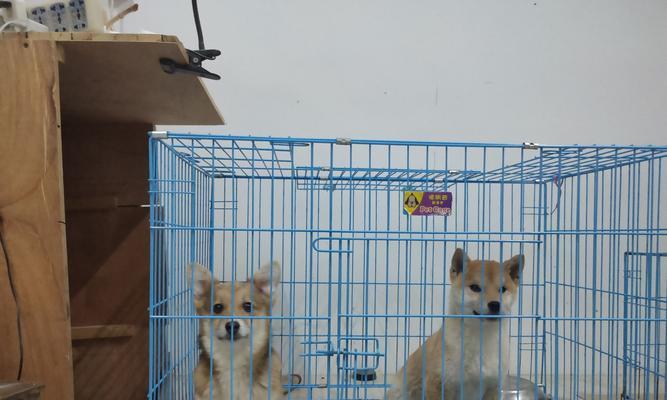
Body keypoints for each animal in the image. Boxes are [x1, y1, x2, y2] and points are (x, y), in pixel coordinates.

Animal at [388, 248, 524, 398]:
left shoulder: (493, 386)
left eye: (503, 289)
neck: (480, 338)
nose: (495, 304)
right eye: (475, 287)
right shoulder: (437, 382)